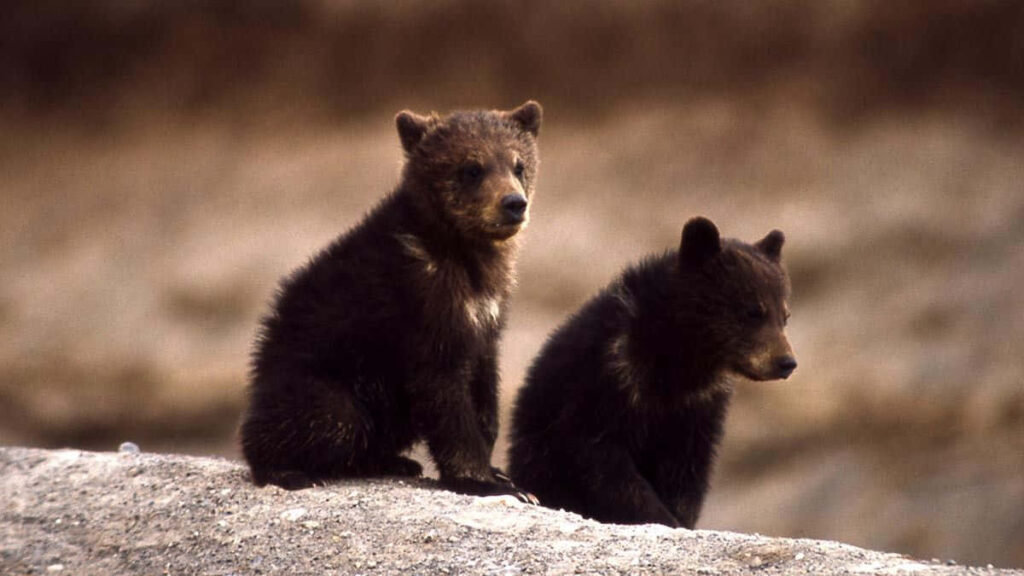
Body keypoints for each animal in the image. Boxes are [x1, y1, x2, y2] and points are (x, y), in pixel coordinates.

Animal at [240, 101, 542, 499]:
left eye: (518, 164)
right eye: (471, 167)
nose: (513, 204)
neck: (465, 255)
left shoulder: (486, 314)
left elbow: (484, 385)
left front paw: (502, 474)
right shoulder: (421, 307)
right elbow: (443, 393)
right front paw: (484, 481)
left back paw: (394, 461)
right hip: (320, 376)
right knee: (332, 416)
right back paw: (289, 471)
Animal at [507, 216, 796, 528]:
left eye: (785, 315)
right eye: (753, 311)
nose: (786, 362)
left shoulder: (696, 411)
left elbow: (686, 475)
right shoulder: (600, 388)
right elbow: (603, 465)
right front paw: (658, 515)